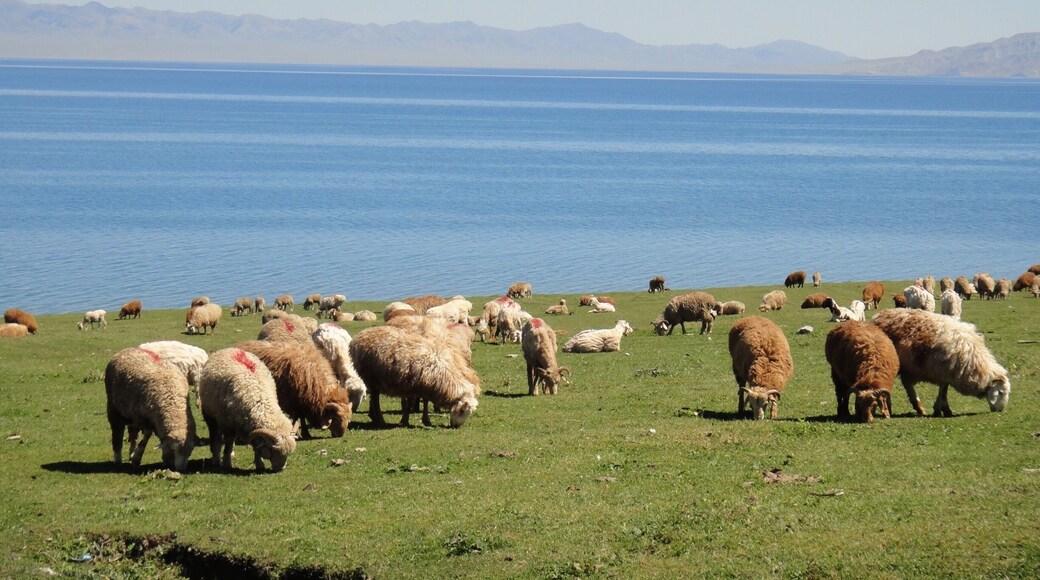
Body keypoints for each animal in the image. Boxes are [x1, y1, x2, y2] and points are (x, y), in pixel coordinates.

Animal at [349, 325, 480, 428]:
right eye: (462, 411)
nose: (456, 426)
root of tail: (358, 337)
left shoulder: (426, 385)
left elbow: (425, 401)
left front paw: (426, 420)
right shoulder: (412, 384)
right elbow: (409, 402)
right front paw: (405, 420)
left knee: (373, 397)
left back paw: (374, 417)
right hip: (371, 375)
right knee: (375, 399)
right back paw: (380, 420)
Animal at [871, 308, 1011, 417]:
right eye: (1001, 392)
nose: (1000, 410)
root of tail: (879, 315)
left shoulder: (946, 374)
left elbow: (943, 390)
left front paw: (941, 409)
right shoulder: (942, 371)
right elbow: (943, 391)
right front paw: (942, 409)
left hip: (908, 366)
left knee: (907, 383)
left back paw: (918, 407)